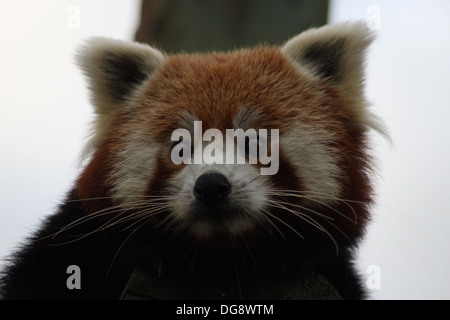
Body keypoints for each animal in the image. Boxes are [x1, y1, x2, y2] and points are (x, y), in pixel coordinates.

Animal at [1, 22, 384, 300]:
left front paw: (287, 254)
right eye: (180, 147)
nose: (212, 185)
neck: (219, 258)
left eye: (254, 142)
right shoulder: (71, 247)